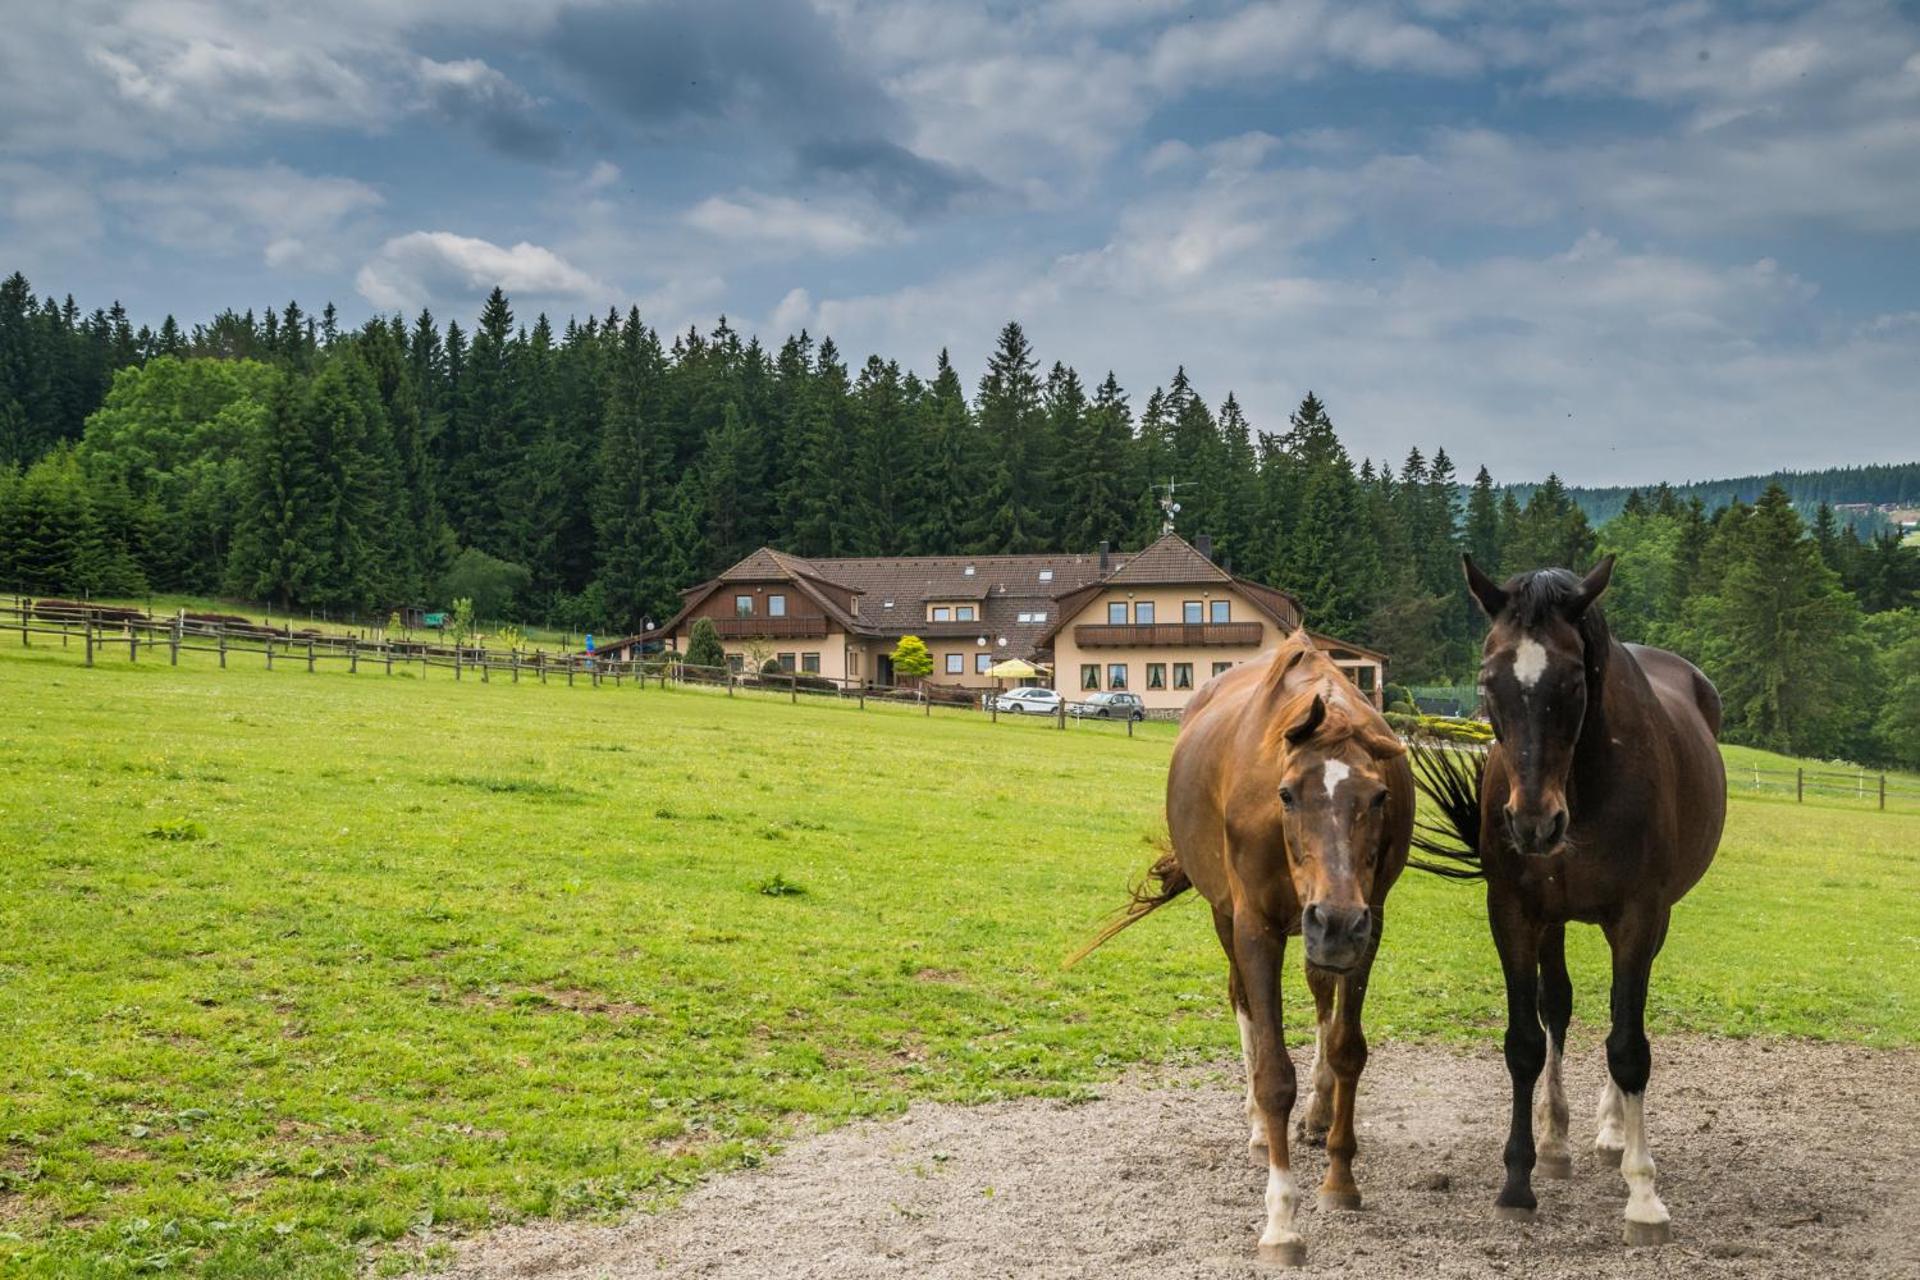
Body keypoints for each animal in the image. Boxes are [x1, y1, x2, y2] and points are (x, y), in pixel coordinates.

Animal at [1070, 631, 1414, 1266]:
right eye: (1287, 794)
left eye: (1379, 797)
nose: (1336, 920)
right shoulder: (1257, 927)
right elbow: (1274, 1073)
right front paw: (1281, 1222)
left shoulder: (1367, 925)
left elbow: (1347, 1049)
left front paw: (1340, 1177)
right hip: (1234, 919)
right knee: (1244, 1005)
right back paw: (1259, 1130)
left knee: (1322, 1001)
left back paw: (1318, 1114)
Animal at [1412, 555, 1726, 1247]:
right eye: (1489, 681)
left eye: (1575, 681)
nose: (1533, 824)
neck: (1583, 789)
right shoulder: (1514, 913)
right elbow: (1525, 1041)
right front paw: (1517, 1181)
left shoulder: (1639, 916)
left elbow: (1628, 1046)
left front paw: (1644, 1196)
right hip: (1552, 920)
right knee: (1557, 1005)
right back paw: (1557, 1142)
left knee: (1619, 1017)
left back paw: (1613, 1133)